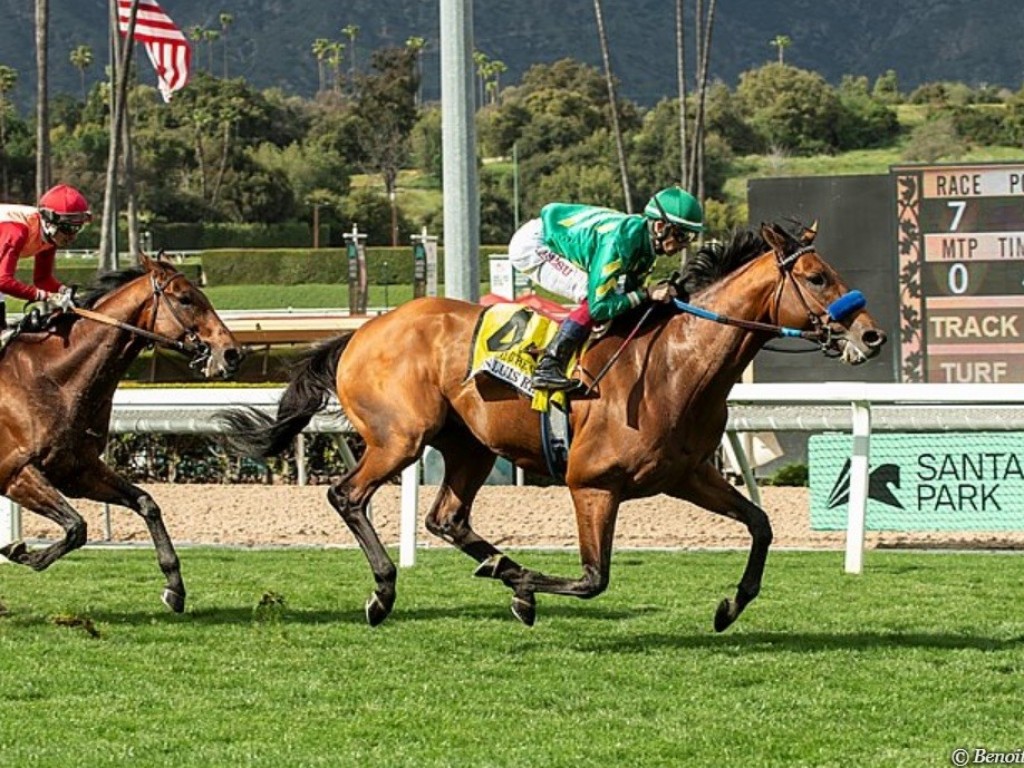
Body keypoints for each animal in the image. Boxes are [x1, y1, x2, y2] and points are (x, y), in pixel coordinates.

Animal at [0, 256, 241, 618]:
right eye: (186, 298)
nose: (232, 353)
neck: (51, 378)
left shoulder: (76, 469)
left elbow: (145, 504)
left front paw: (175, 588)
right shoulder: (16, 474)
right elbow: (76, 526)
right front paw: (21, 552)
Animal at [222, 221, 888, 630]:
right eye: (818, 277)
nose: (871, 334)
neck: (676, 364)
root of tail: (362, 330)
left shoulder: (687, 475)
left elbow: (761, 524)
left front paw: (731, 605)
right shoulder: (591, 484)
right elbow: (594, 579)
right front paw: (525, 596)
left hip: (469, 446)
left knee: (446, 518)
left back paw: (498, 565)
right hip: (400, 438)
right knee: (348, 495)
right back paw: (387, 591)